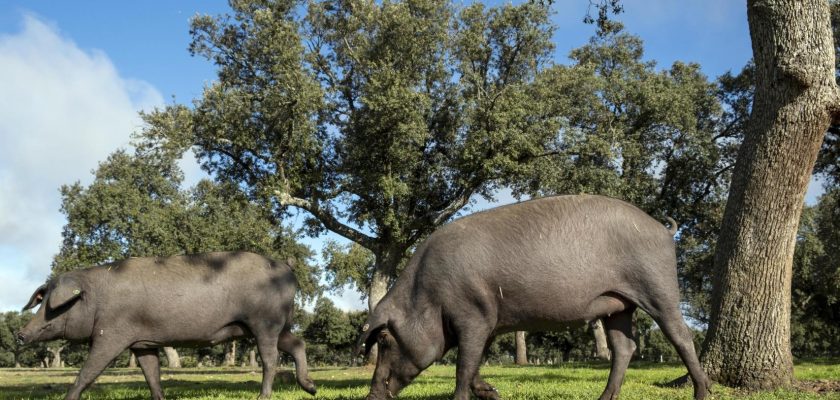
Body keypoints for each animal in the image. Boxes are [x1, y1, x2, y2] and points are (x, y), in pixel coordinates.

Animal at [16, 252, 318, 400]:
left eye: (53, 306)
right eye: (41, 301)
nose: (20, 333)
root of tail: (287, 268)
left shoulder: (111, 334)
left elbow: (88, 372)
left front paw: (68, 398)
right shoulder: (142, 343)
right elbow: (152, 373)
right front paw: (160, 398)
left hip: (264, 322)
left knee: (271, 357)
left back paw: (262, 396)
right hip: (276, 326)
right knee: (297, 343)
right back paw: (311, 388)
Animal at [354, 195, 708, 400]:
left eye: (384, 339)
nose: (371, 396)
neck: (428, 295)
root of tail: (663, 229)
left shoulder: (474, 314)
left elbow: (463, 368)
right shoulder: (489, 321)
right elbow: (475, 364)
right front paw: (495, 393)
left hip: (657, 284)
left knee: (681, 335)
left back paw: (702, 393)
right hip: (617, 305)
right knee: (625, 347)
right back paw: (603, 398)